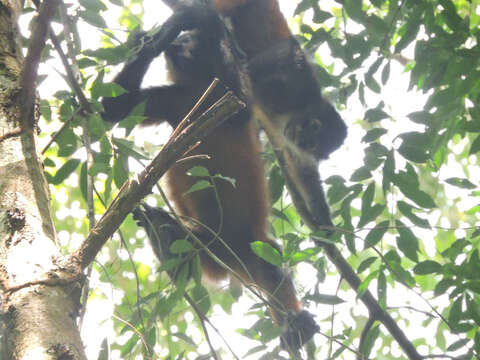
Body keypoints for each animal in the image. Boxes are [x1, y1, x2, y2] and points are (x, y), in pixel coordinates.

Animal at [101, 0, 318, 348]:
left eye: (189, 41)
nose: (178, 44)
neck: (200, 87)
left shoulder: (226, 94)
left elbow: (239, 93)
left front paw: (190, 21)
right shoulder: (173, 98)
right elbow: (112, 107)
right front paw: (150, 41)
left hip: (246, 247)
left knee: (270, 262)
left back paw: (295, 329)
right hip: (203, 246)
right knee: (179, 244)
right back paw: (163, 235)